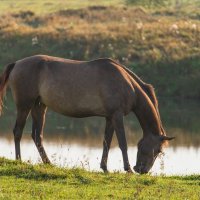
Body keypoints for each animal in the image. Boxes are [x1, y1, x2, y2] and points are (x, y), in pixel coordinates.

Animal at [0, 55, 173, 174]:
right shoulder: (117, 116)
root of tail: (16, 63)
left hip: (39, 107)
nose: (141, 170)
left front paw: (104, 167)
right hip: (24, 106)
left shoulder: (110, 117)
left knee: (37, 136)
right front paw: (127, 168)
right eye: (158, 150)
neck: (127, 84)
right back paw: (19, 160)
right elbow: (122, 143)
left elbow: (106, 142)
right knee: (18, 132)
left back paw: (48, 162)